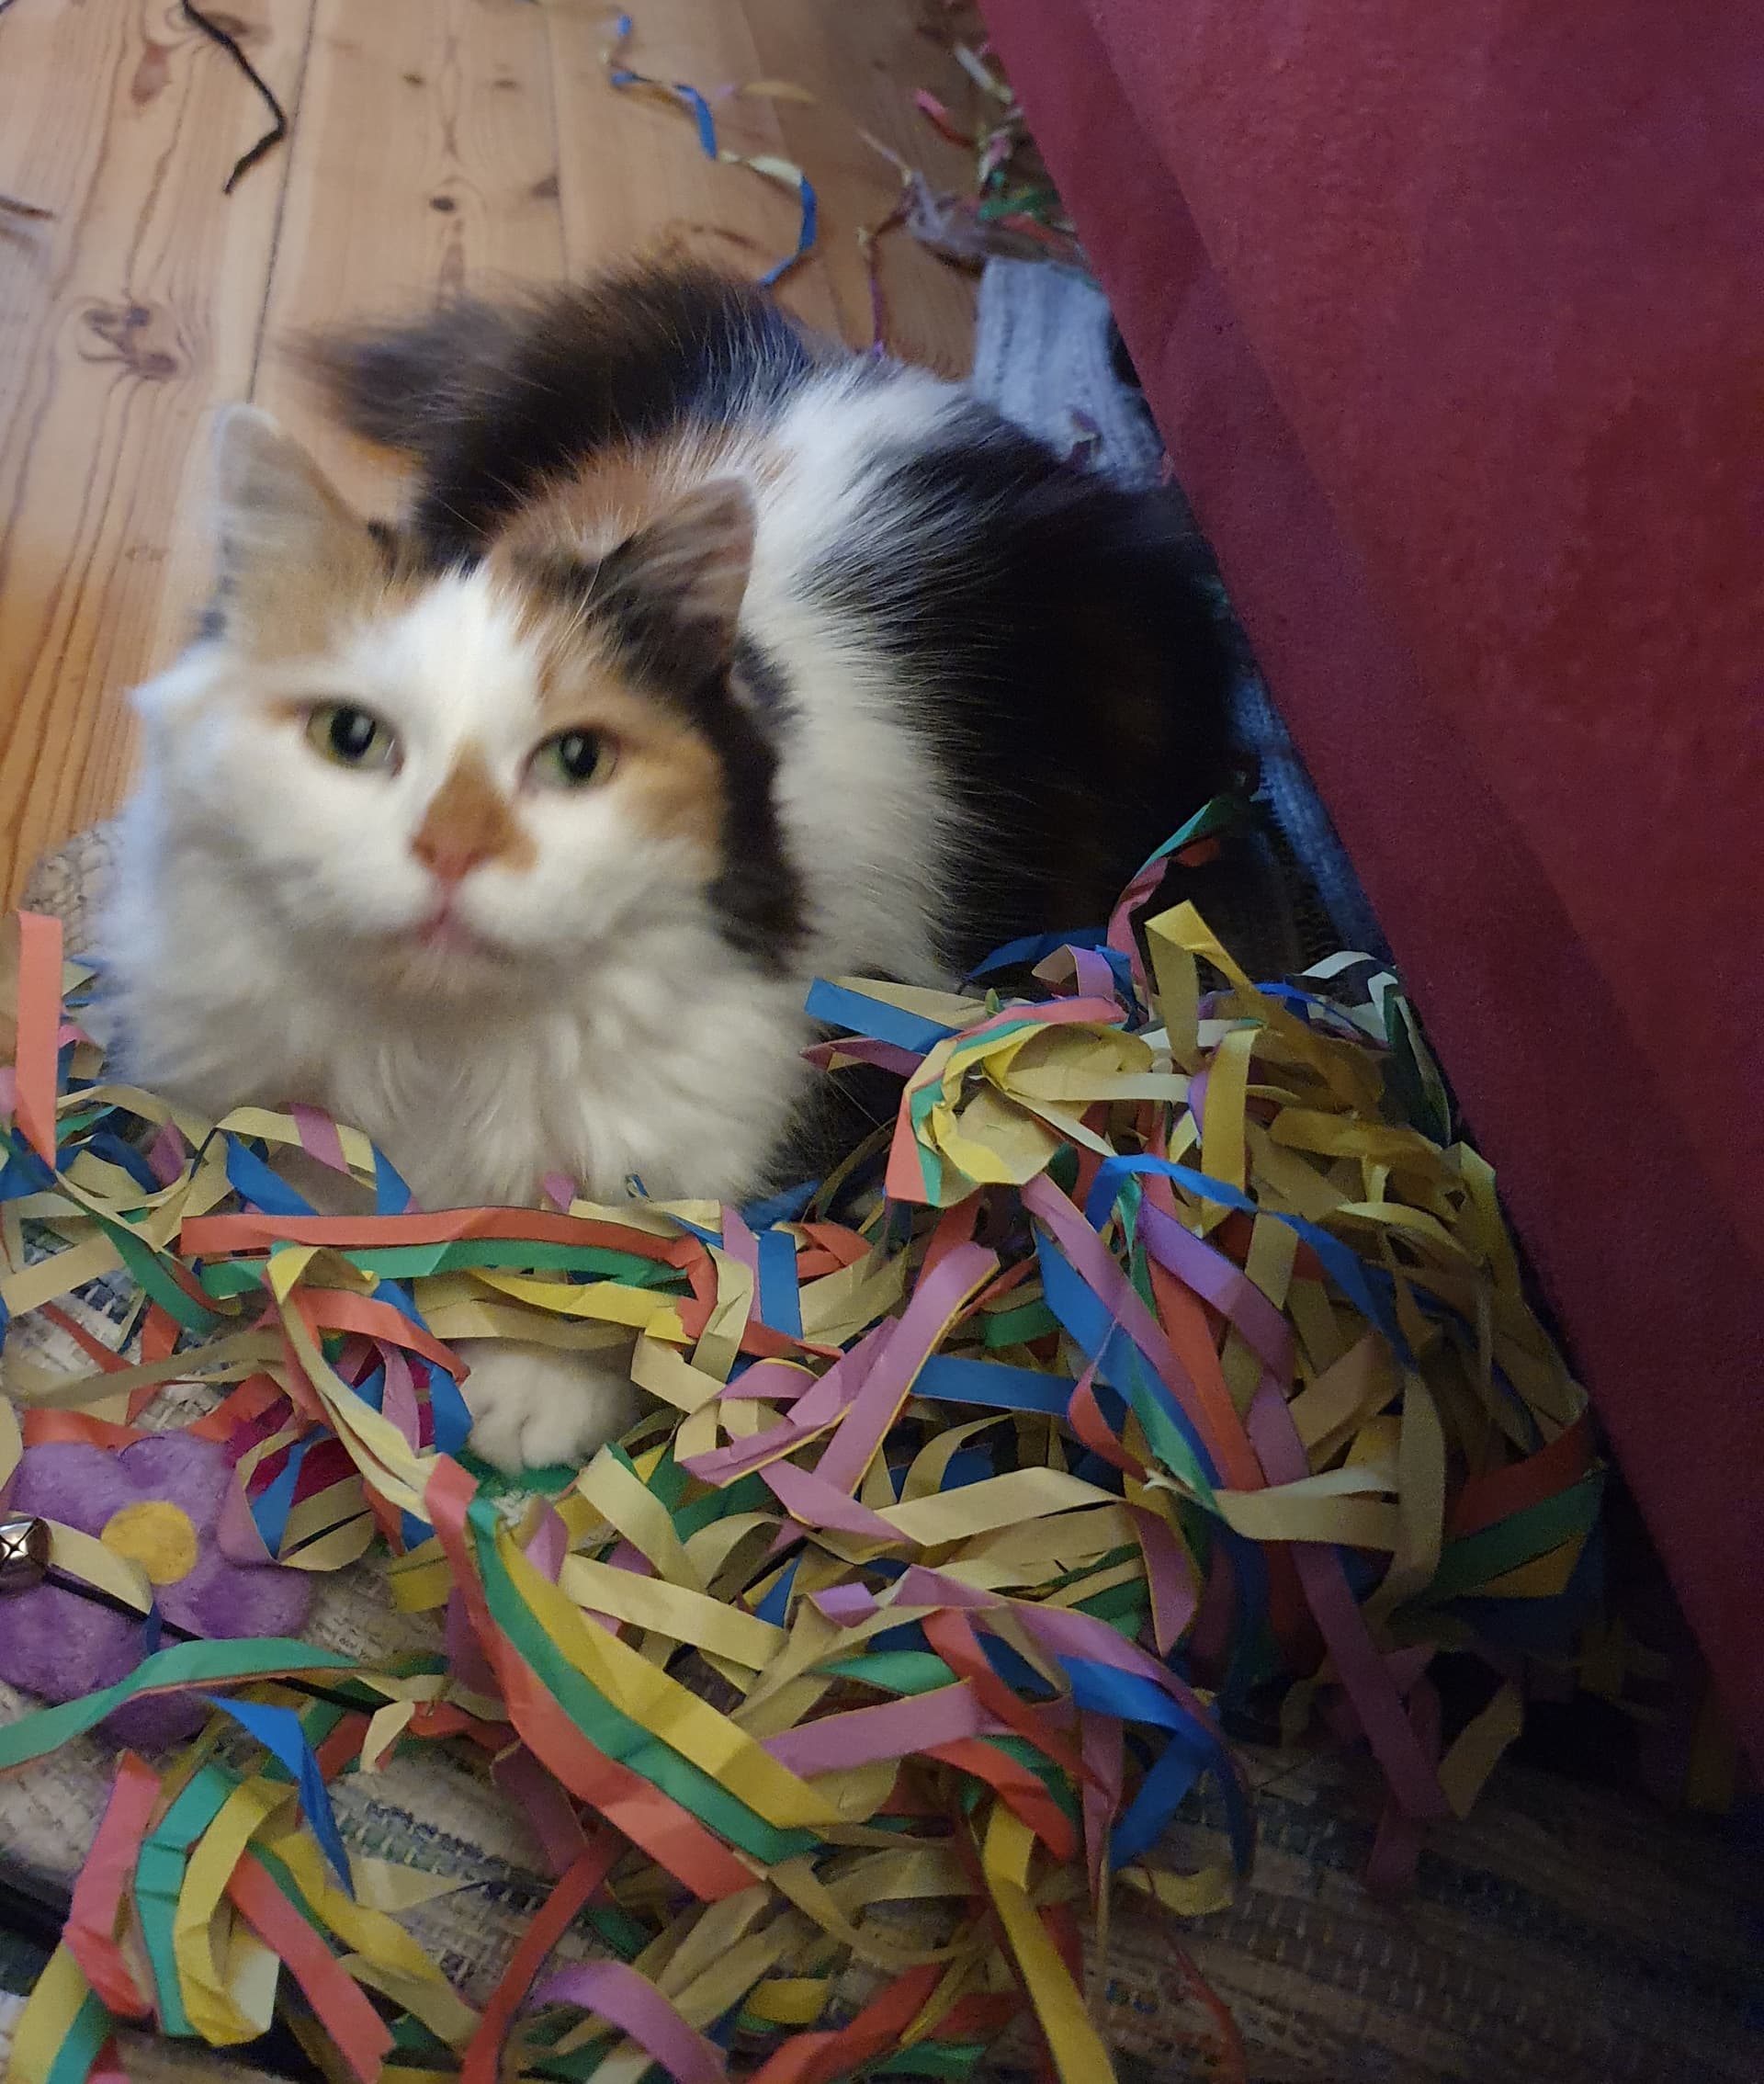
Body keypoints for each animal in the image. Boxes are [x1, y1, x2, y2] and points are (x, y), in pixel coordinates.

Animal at [104, 262, 1233, 1470]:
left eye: (576, 760)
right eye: (351, 739)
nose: (454, 845)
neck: (445, 1051)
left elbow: (648, 1273)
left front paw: (528, 1402)